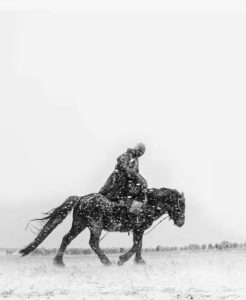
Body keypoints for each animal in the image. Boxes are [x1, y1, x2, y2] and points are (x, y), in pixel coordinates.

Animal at [19, 188, 184, 264]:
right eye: (180, 205)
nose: (181, 222)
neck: (149, 204)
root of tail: (81, 198)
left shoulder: (139, 230)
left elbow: (139, 244)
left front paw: (139, 261)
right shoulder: (138, 228)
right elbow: (137, 245)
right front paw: (123, 259)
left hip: (79, 224)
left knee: (67, 238)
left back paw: (59, 262)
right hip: (95, 226)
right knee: (93, 243)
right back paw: (107, 262)